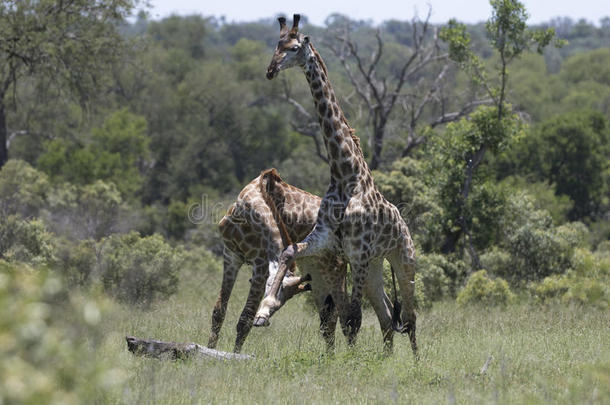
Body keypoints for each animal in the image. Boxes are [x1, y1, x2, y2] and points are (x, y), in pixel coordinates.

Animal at [208, 167, 346, 350]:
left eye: (288, 297)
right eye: (275, 288)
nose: (264, 320)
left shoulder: (261, 263)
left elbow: (245, 319)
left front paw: (233, 354)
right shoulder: (231, 254)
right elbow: (219, 311)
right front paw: (209, 349)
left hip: (333, 270)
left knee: (338, 317)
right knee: (329, 319)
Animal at [253, 14, 418, 354]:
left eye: (292, 48)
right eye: (276, 45)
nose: (270, 70)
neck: (345, 174)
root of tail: (403, 222)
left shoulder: (358, 252)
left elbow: (353, 316)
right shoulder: (329, 239)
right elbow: (288, 252)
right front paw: (264, 309)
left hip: (402, 260)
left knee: (410, 316)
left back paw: (417, 361)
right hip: (375, 267)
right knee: (387, 315)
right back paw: (385, 359)